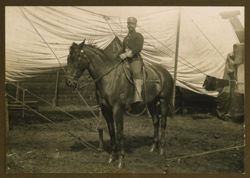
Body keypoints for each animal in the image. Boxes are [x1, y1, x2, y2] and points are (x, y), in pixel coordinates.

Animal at [65, 40, 173, 168]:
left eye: (77, 57)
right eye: (68, 58)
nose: (69, 82)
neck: (109, 77)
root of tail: (165, 72)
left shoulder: (117, 108)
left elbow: (119, 132)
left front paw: (121, 159)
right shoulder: (105, 109)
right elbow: (112, 131)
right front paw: (112, 157)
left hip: (164, 101)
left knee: (163, 123)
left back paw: (161, 150)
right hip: (151, 103)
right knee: (156, 121)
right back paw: (152, 148)